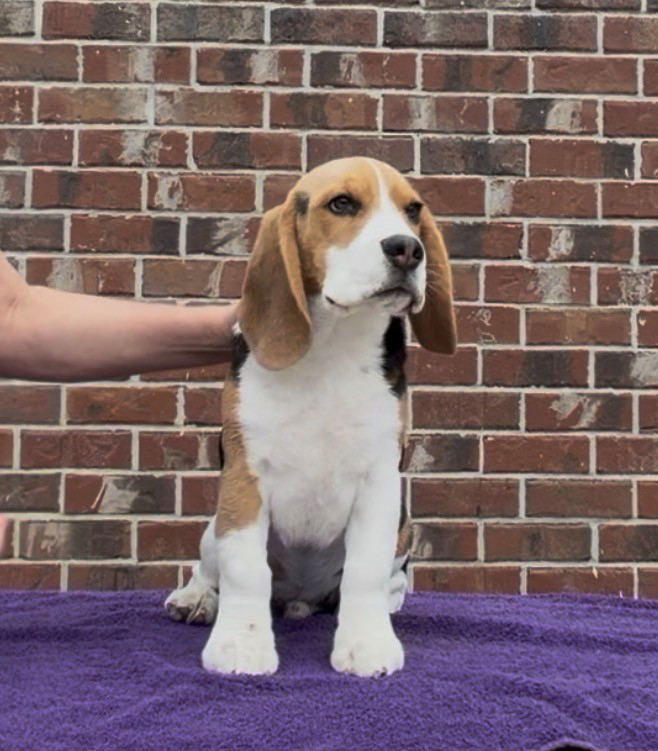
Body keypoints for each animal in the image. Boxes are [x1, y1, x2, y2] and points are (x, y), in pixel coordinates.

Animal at [165, 157, 456, 677]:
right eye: (341, 204)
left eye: (413, 211)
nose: (408, 249)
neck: (334, 346)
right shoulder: (244, 474)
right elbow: (245, 569)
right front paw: (242, 646)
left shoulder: (380, 479)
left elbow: (365, 569)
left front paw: (367, 644)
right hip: (213, 526)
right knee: (210, 564)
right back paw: (196, 597)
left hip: (404, 529)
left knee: (389, 580)